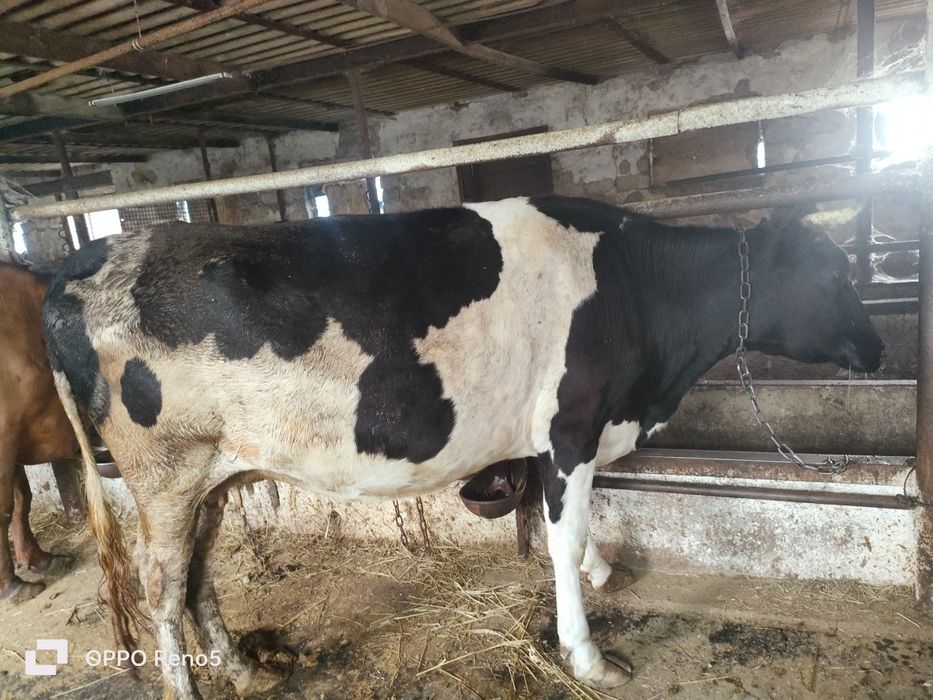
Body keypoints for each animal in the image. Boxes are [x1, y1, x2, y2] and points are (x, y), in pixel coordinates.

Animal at [42, 196, 884, 698]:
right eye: (831, 272)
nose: (877, 349)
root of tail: (86, 259)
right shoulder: (572, 425)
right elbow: (563, 532)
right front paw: (587, 653)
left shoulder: (560, 436)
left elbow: (570, 527)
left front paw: (601, 571)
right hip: (163, 471)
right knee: (159, 584)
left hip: (211, 473)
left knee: (196, 574)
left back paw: (244, 666)